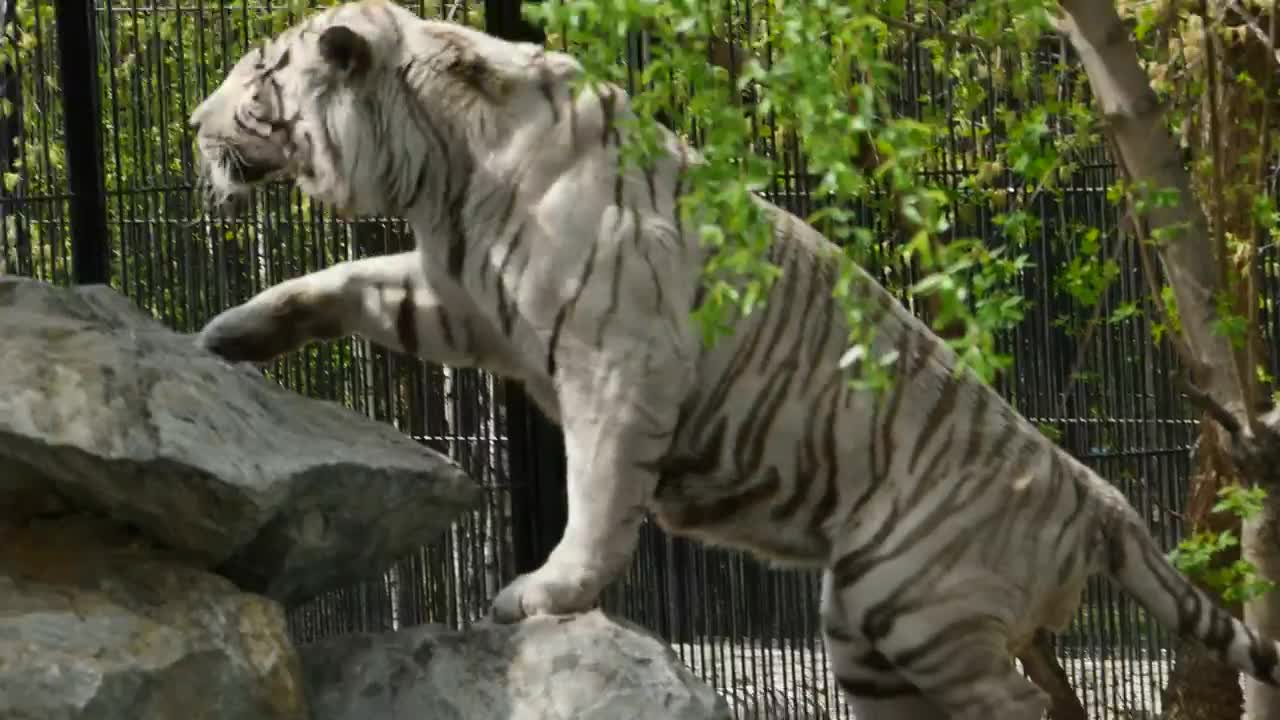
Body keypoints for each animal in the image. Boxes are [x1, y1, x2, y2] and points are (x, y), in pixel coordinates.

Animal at [187, 2, 1280, 717]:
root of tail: (1097, 495)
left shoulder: (616, 362)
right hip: (868, 632)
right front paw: (230, 334)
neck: (443, 170)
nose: (193, 123)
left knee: (1020, 708)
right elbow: (340, 281)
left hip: (917, 603)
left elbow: (595, 497)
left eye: (257, 72)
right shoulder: (463, 301)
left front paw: (546, 594)